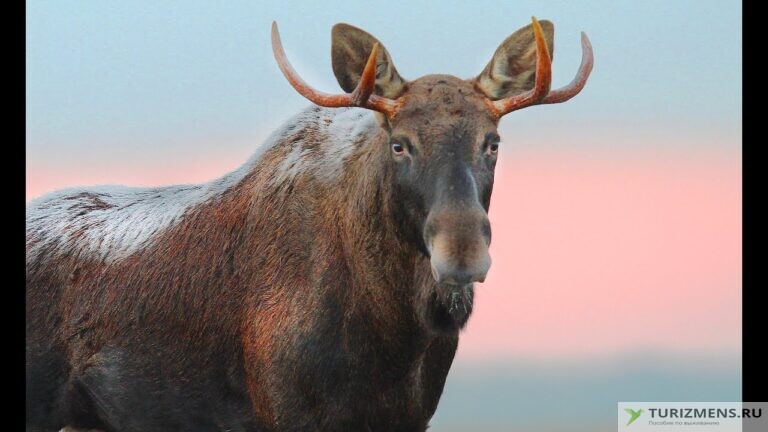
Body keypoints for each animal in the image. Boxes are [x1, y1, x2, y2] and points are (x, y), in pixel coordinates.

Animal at [27, 17, 592, 432]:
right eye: (400, 143)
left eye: (492, 142)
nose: (463, 254)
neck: (393, 331)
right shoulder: (289, 412)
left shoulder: (408, 417)